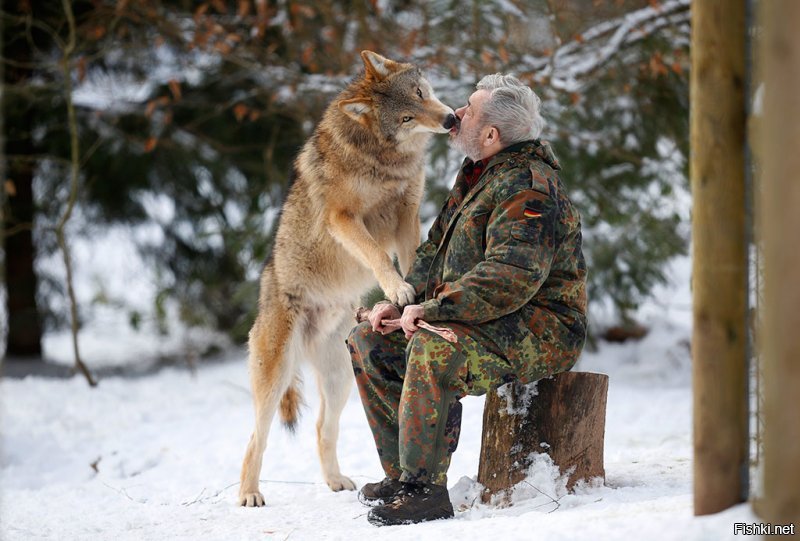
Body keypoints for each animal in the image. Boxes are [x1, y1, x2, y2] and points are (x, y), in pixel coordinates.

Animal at [238, 50, 456, 506]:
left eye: (421, 93)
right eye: (406, 117)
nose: (449, 120)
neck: (383, 159)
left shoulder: (407, 213)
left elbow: (411, 256)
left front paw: (413, 295)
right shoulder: (343, 218)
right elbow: (377, 255)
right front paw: (397, 288)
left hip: (340, 379)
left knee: (323, 427)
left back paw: (336, 481)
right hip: (275, 376)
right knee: (256, 437)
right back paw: (249, 495)